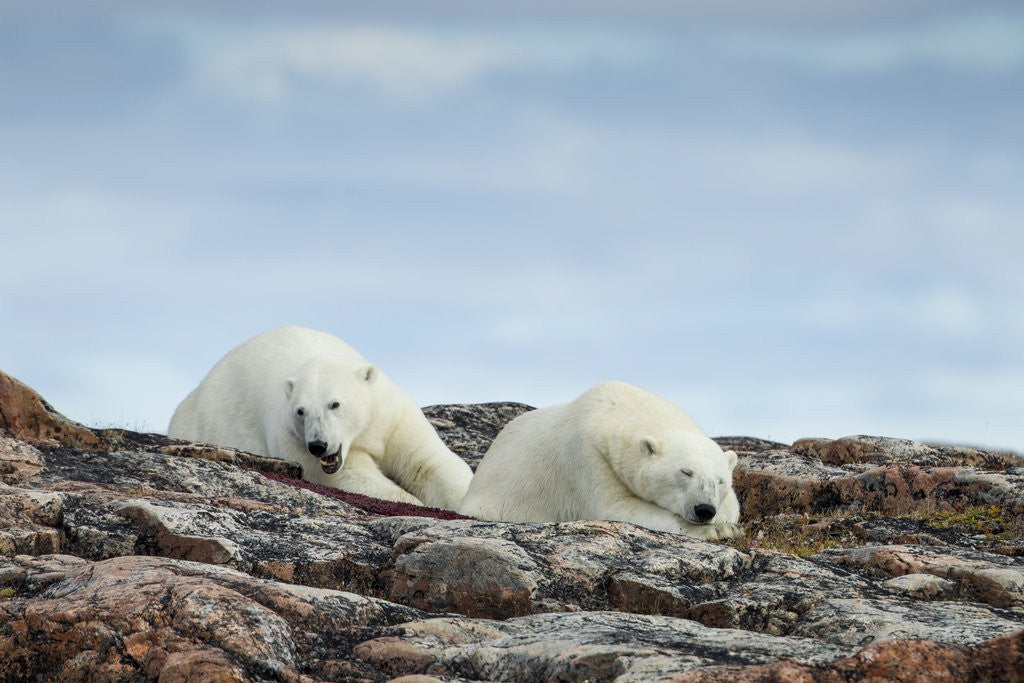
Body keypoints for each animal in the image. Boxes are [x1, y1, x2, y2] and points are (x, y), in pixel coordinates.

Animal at [168, 326, 473, 510]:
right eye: (301, 411)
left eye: (334, 404)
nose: (318, 445)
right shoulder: (292, 439)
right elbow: (350, 477)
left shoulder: (393, 419)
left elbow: (427, 463)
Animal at [458, 380, 741, 540]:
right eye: (685, 472)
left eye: (721, 481)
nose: (704, 510)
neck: (616, 408)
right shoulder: (587, 457)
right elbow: (615, 508)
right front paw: (717, 531)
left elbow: (734, 507)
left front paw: (724, 523)